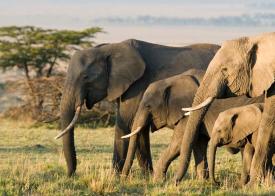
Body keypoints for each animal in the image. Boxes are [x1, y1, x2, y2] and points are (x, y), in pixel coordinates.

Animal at [55, 38, 221, 176]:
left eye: (85, 77)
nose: (71, 175)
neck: (109, 48)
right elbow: (138, 129)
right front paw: (147, 177)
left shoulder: (137, 86)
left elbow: (127, 124)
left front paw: (114, 177)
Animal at [122, 68, 264, 180]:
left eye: (148, 106)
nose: (123, 178)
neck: (172, 80)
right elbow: (198, 144)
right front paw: (202, 181)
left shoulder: (188, 113)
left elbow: (178, 144)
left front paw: (157, 180)